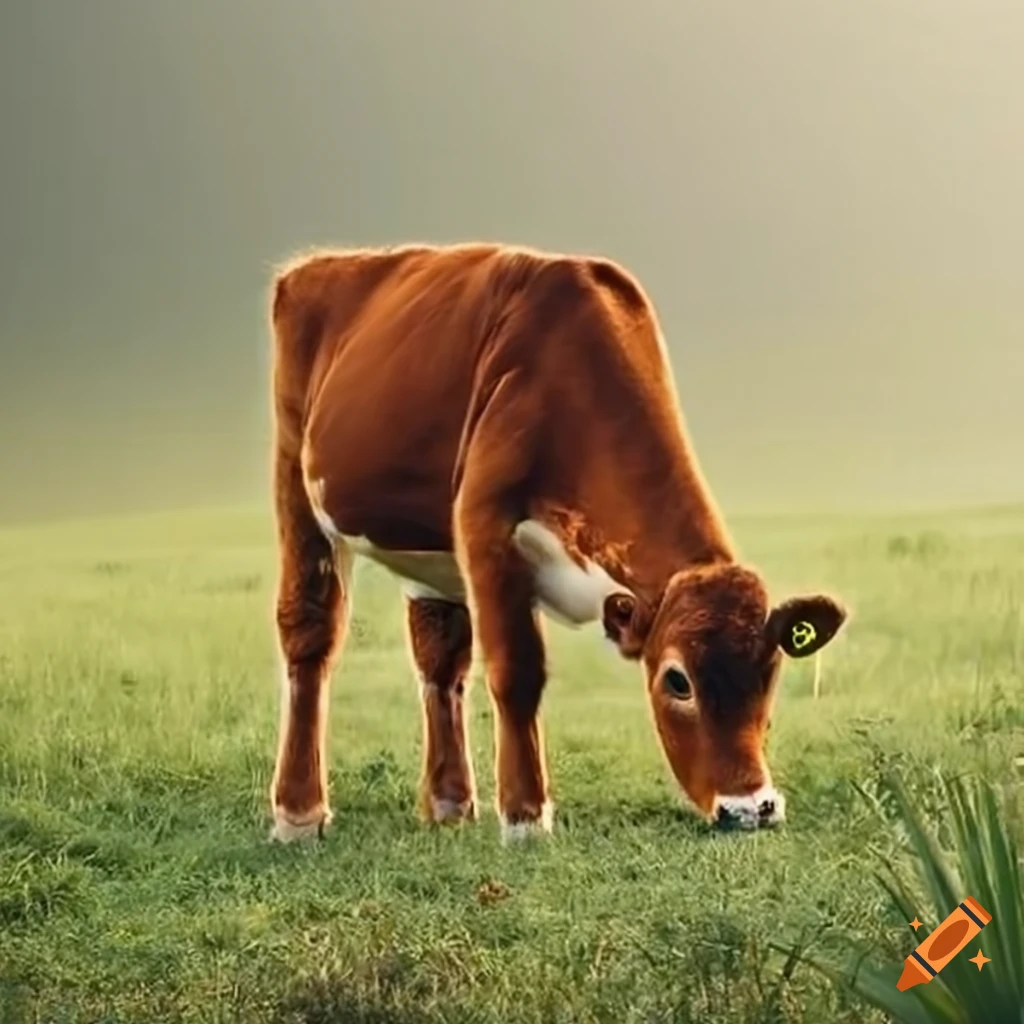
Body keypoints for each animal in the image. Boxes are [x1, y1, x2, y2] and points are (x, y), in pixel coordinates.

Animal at [267, 242, 848, 845]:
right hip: (296, 478)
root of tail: (324, 263)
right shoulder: (486, 526)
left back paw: (450, 804)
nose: (751, 807)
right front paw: (526, 818)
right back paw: (298, 813)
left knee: (440, 656)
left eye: (770, 671)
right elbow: (517, 669)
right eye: (677, 680)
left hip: (430, 548)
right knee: (309, 633)